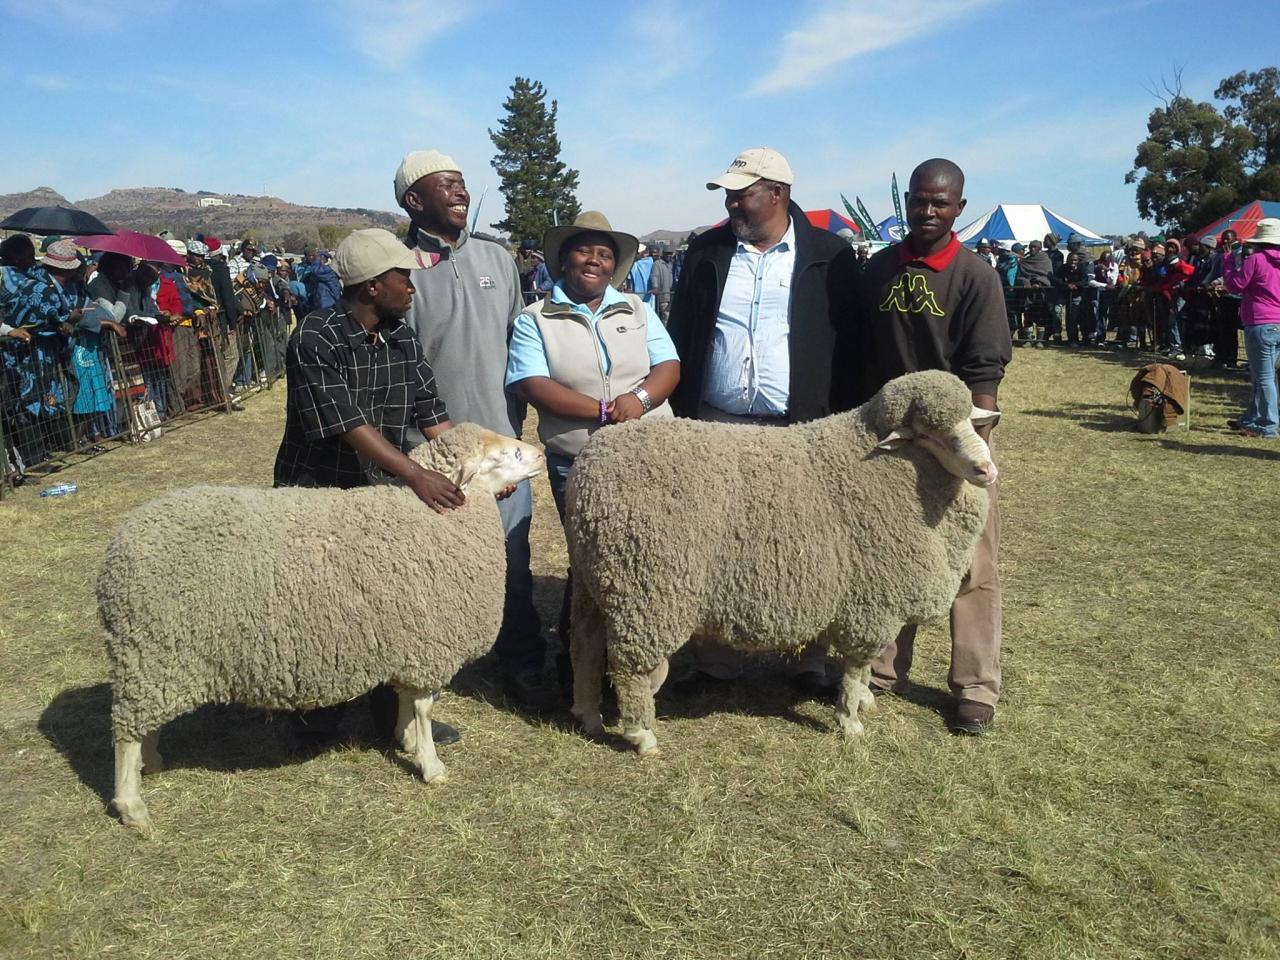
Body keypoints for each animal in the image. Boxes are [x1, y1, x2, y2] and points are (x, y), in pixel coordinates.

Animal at [100, 423, 544, 829]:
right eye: (506, 455)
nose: (539, 454)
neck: (430, 515)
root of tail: (120, 545)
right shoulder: (430, 642)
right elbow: (423, 706)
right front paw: (430, 765)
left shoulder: (410, 641)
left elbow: (405, 700)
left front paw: (406, 740)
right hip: (152, 652)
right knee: (125, 734)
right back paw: (132, 806)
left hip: (155, 661)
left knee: (142, 726)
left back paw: (152, 763)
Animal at [565, 370, 999, 755]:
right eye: (927, 433)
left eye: (969, 421)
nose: (986, 470)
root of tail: (591, 462)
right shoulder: (872, 604)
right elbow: (857, 666)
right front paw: (850, 721)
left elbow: (862, 670)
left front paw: (863, 702)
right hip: (646, 590)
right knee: (629, 667)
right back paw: (642, 736)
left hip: (596, 580)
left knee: (585, 643)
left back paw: (588, 715)